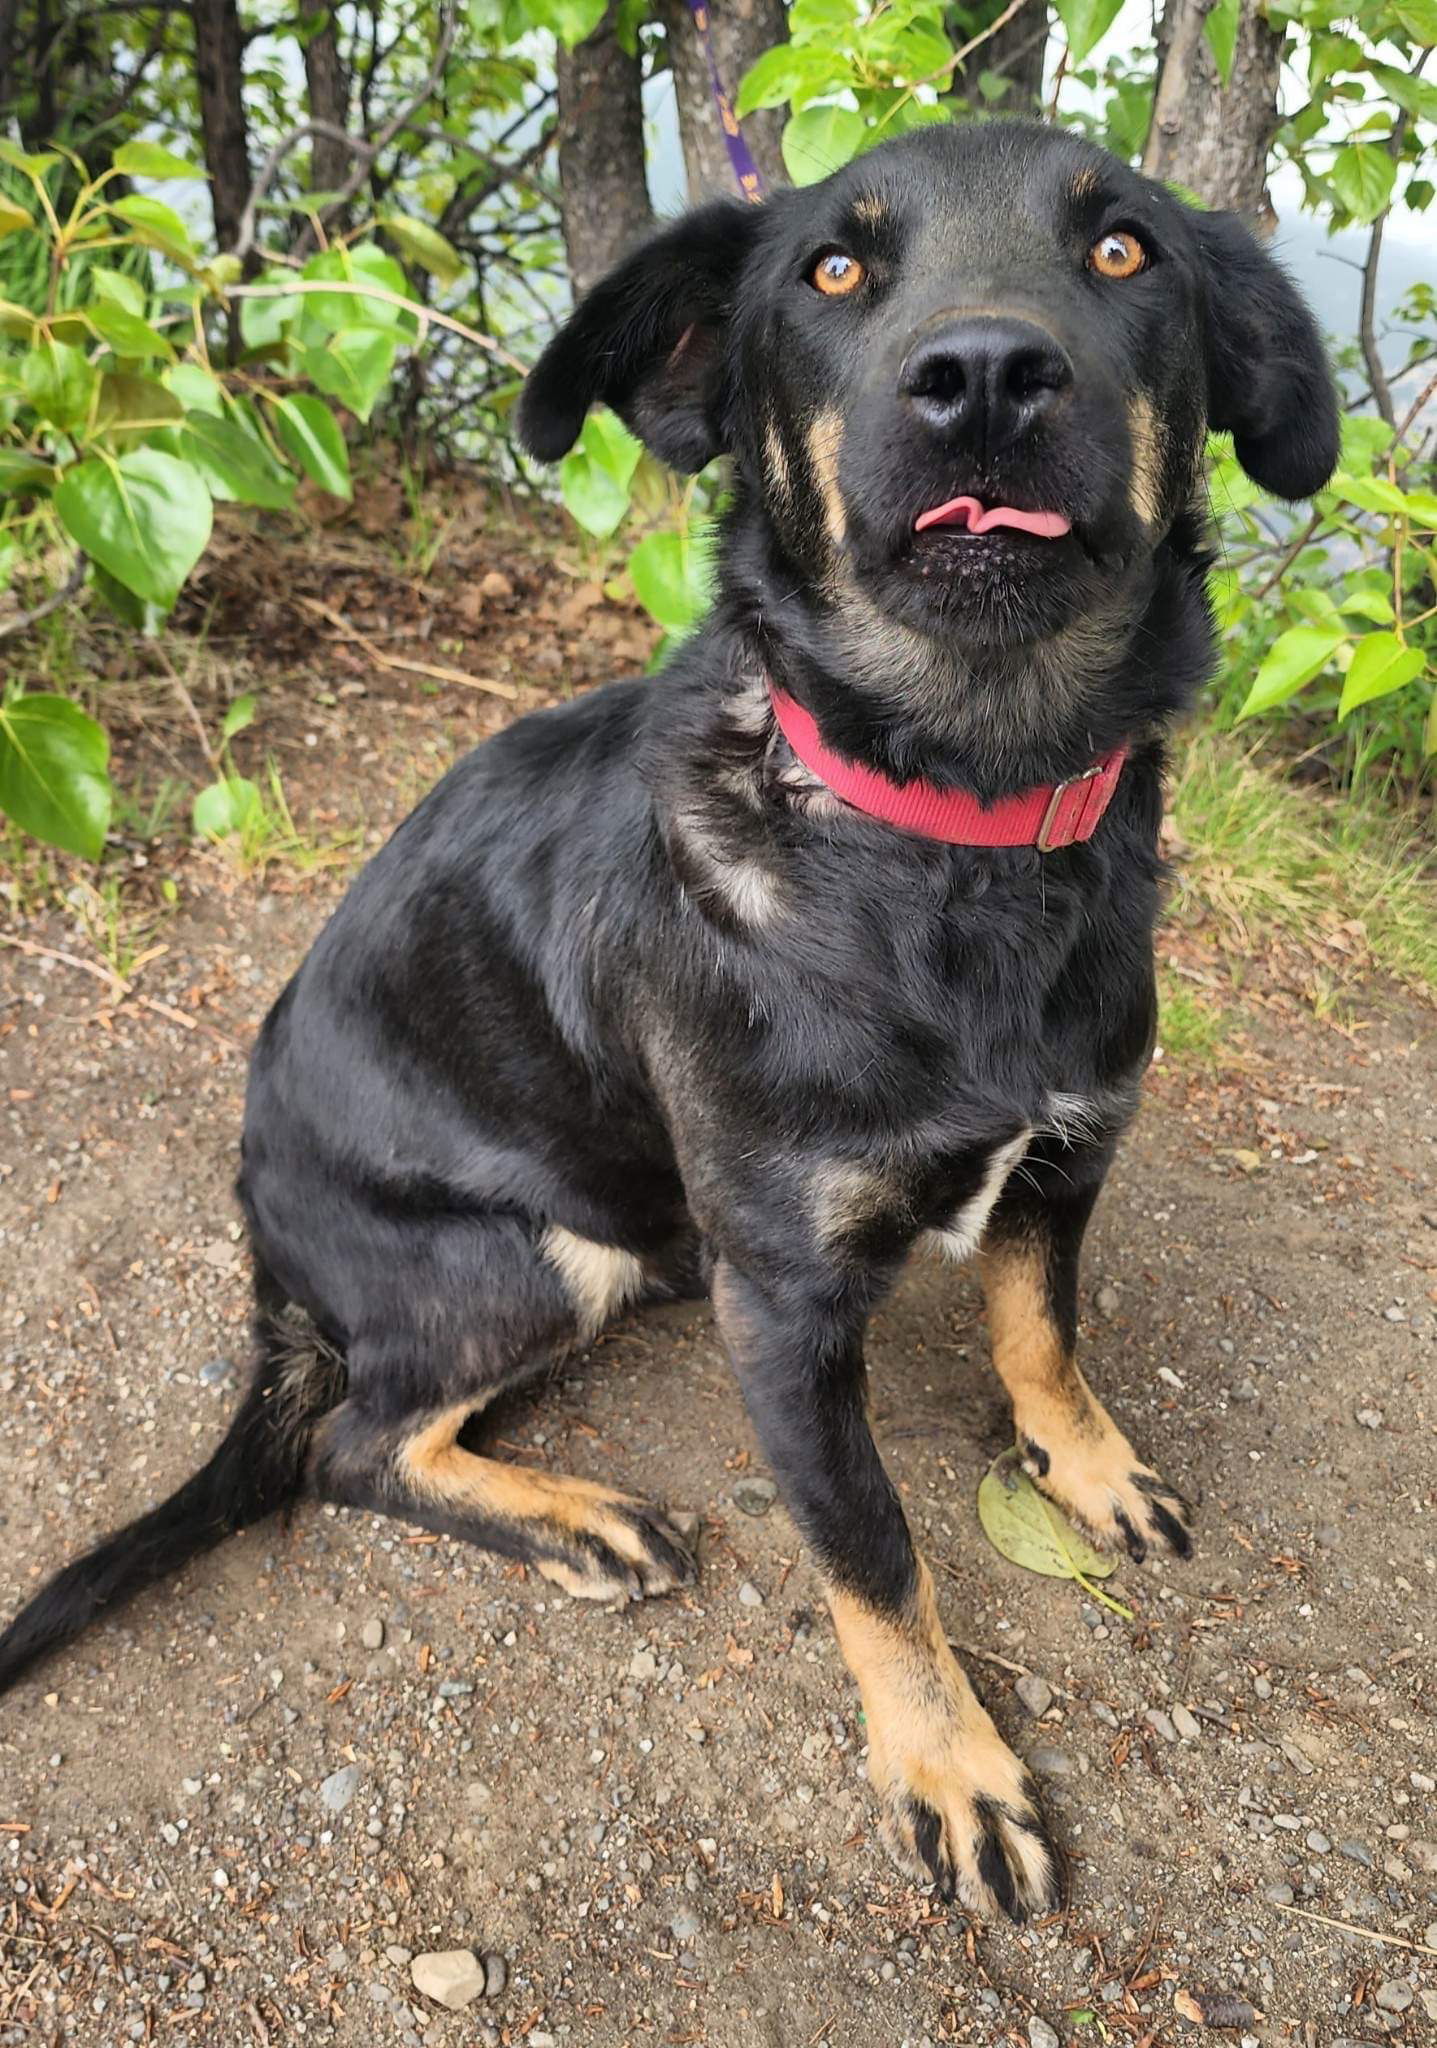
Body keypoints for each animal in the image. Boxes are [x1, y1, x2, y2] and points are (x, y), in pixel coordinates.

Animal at [0, 123, 1342, 1916]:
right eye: (832, 270)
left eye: (1125, 250)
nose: (984, 375)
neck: (953, 817)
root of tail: (264, 1241)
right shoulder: (781, 1309)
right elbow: (876, 1550)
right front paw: (948, 1762)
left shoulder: (1066, 1159)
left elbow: (1042, 1334)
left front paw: (1088, 1464)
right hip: (532, 1257)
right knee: (352, 1446)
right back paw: (568, 1516)